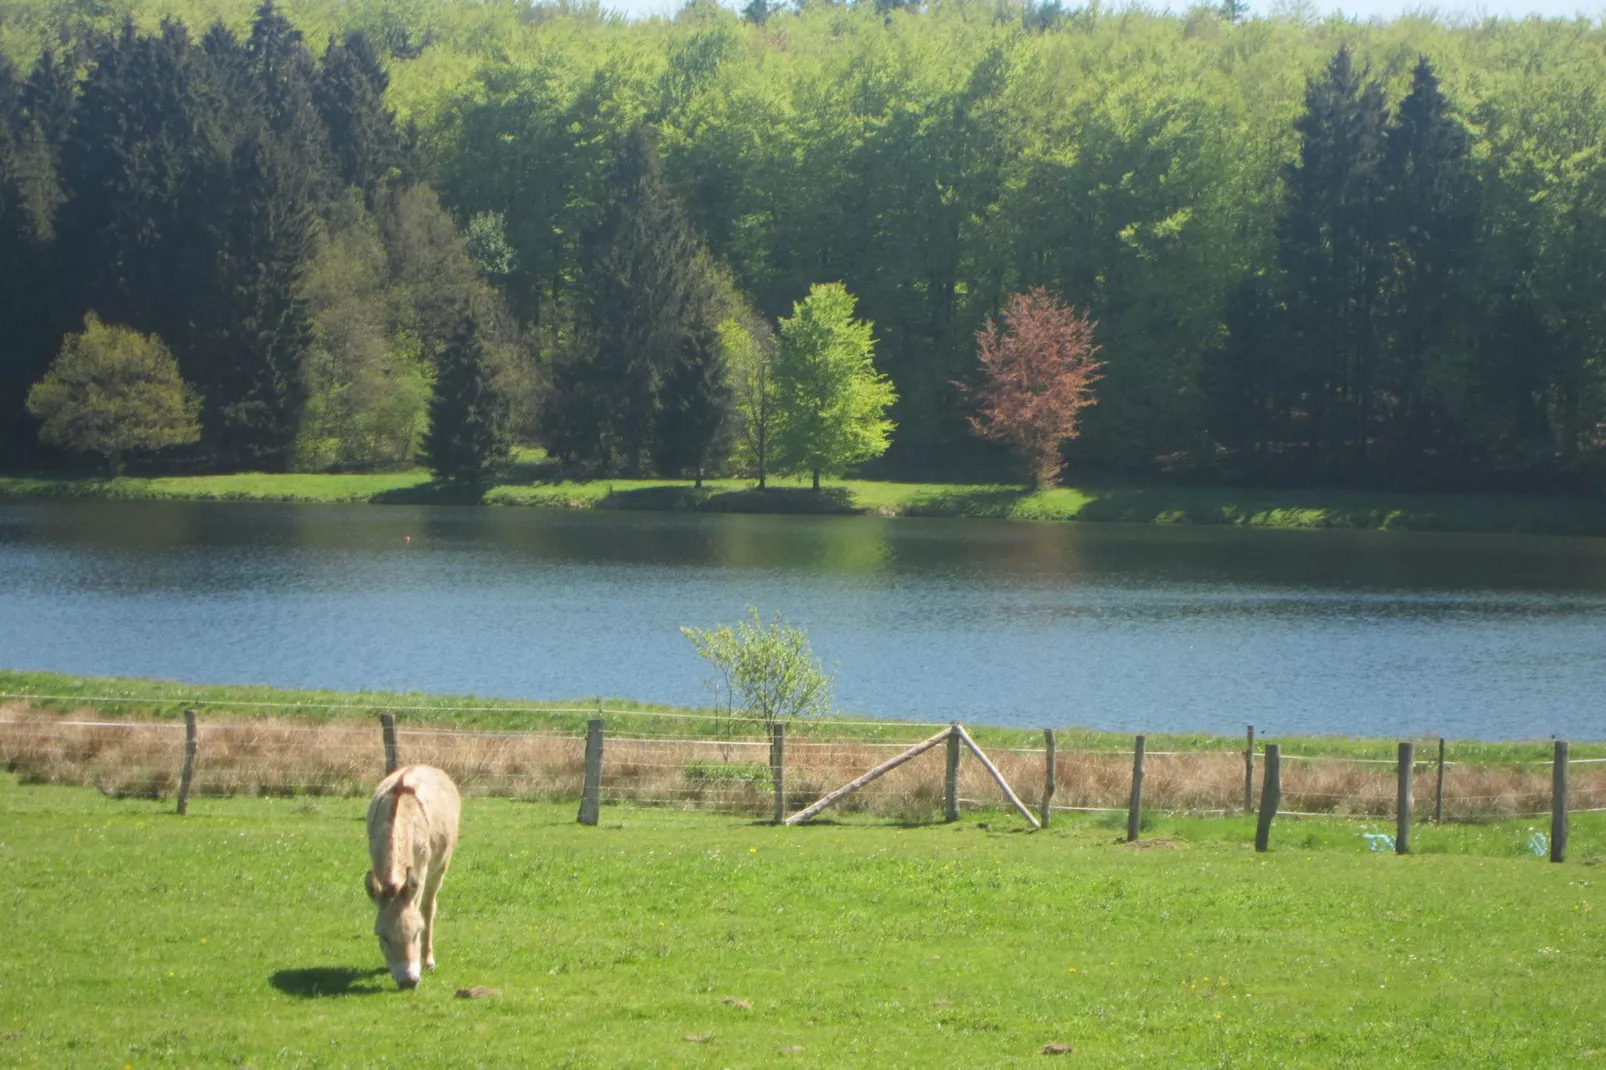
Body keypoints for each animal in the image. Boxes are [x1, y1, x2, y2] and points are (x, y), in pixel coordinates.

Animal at [364, 761, 459, 989]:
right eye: (382, 937)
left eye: (417, 932)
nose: (408, 981)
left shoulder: (420, 871)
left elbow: (418, 908)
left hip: (440, 867)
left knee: (429, 906)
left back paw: (428, 959)